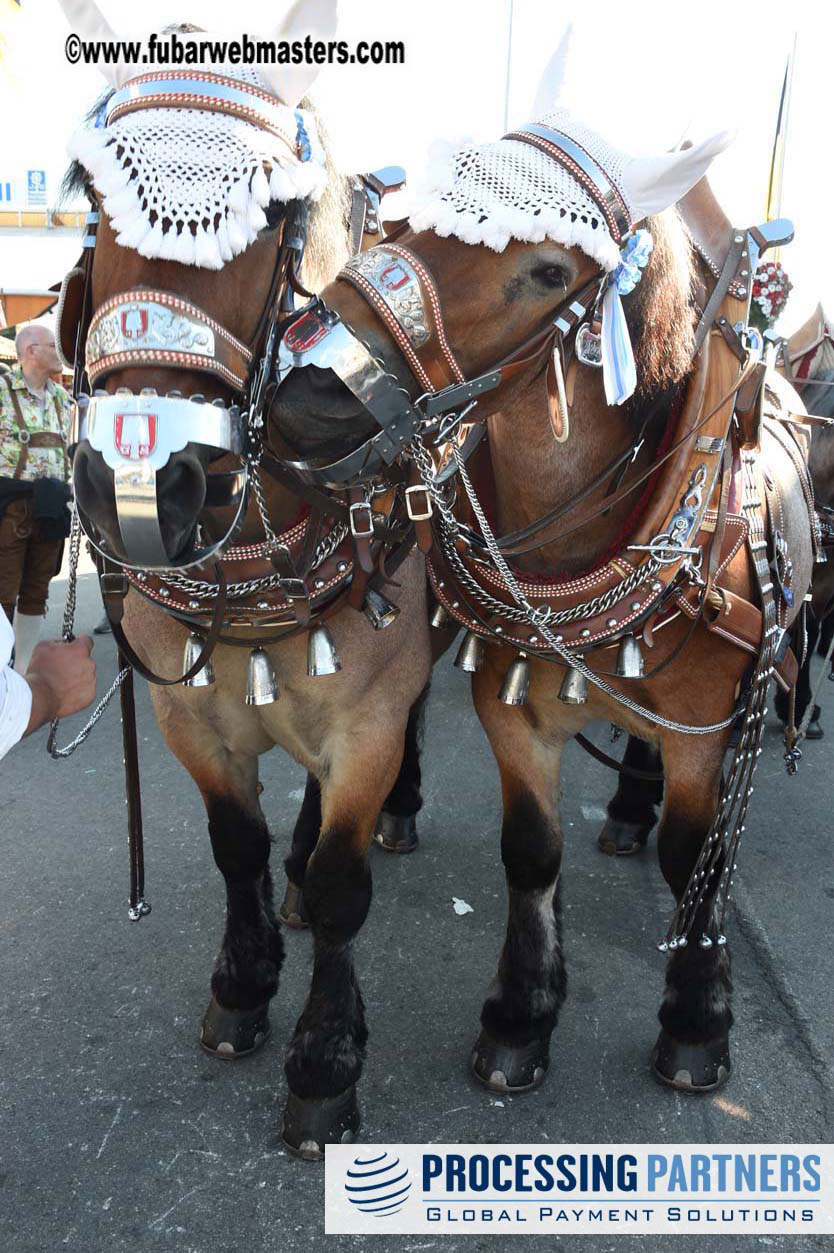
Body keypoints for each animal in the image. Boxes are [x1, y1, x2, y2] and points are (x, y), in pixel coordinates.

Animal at [63, 119, 428, 1152]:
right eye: (96, 200)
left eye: (270, 214)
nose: (145, 484)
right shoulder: (189, 718)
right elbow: (237, 844)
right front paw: (242, 984)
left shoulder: (369, 723)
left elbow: (345, 886)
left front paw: (325, 1062)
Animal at [274, 197, 811, 1107]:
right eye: (408, 227)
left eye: (552, 271)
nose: (307, 392)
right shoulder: (510, 706)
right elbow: (530, 849)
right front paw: (520, 1016)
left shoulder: (705, 726)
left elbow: (692, 857)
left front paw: (696, 1020)